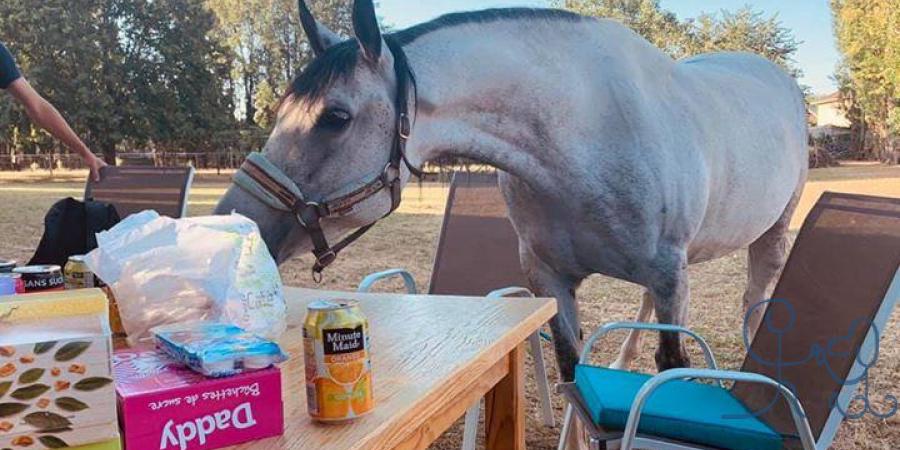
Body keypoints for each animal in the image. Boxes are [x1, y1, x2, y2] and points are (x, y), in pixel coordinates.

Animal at [216, 0, 808, 384]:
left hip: (769, 234)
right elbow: (574, 376)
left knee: (753, 299)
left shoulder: (668, 275)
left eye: (335, 117)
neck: (585, 137)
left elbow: (670, 365)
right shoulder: (552, 280)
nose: (235, 224)